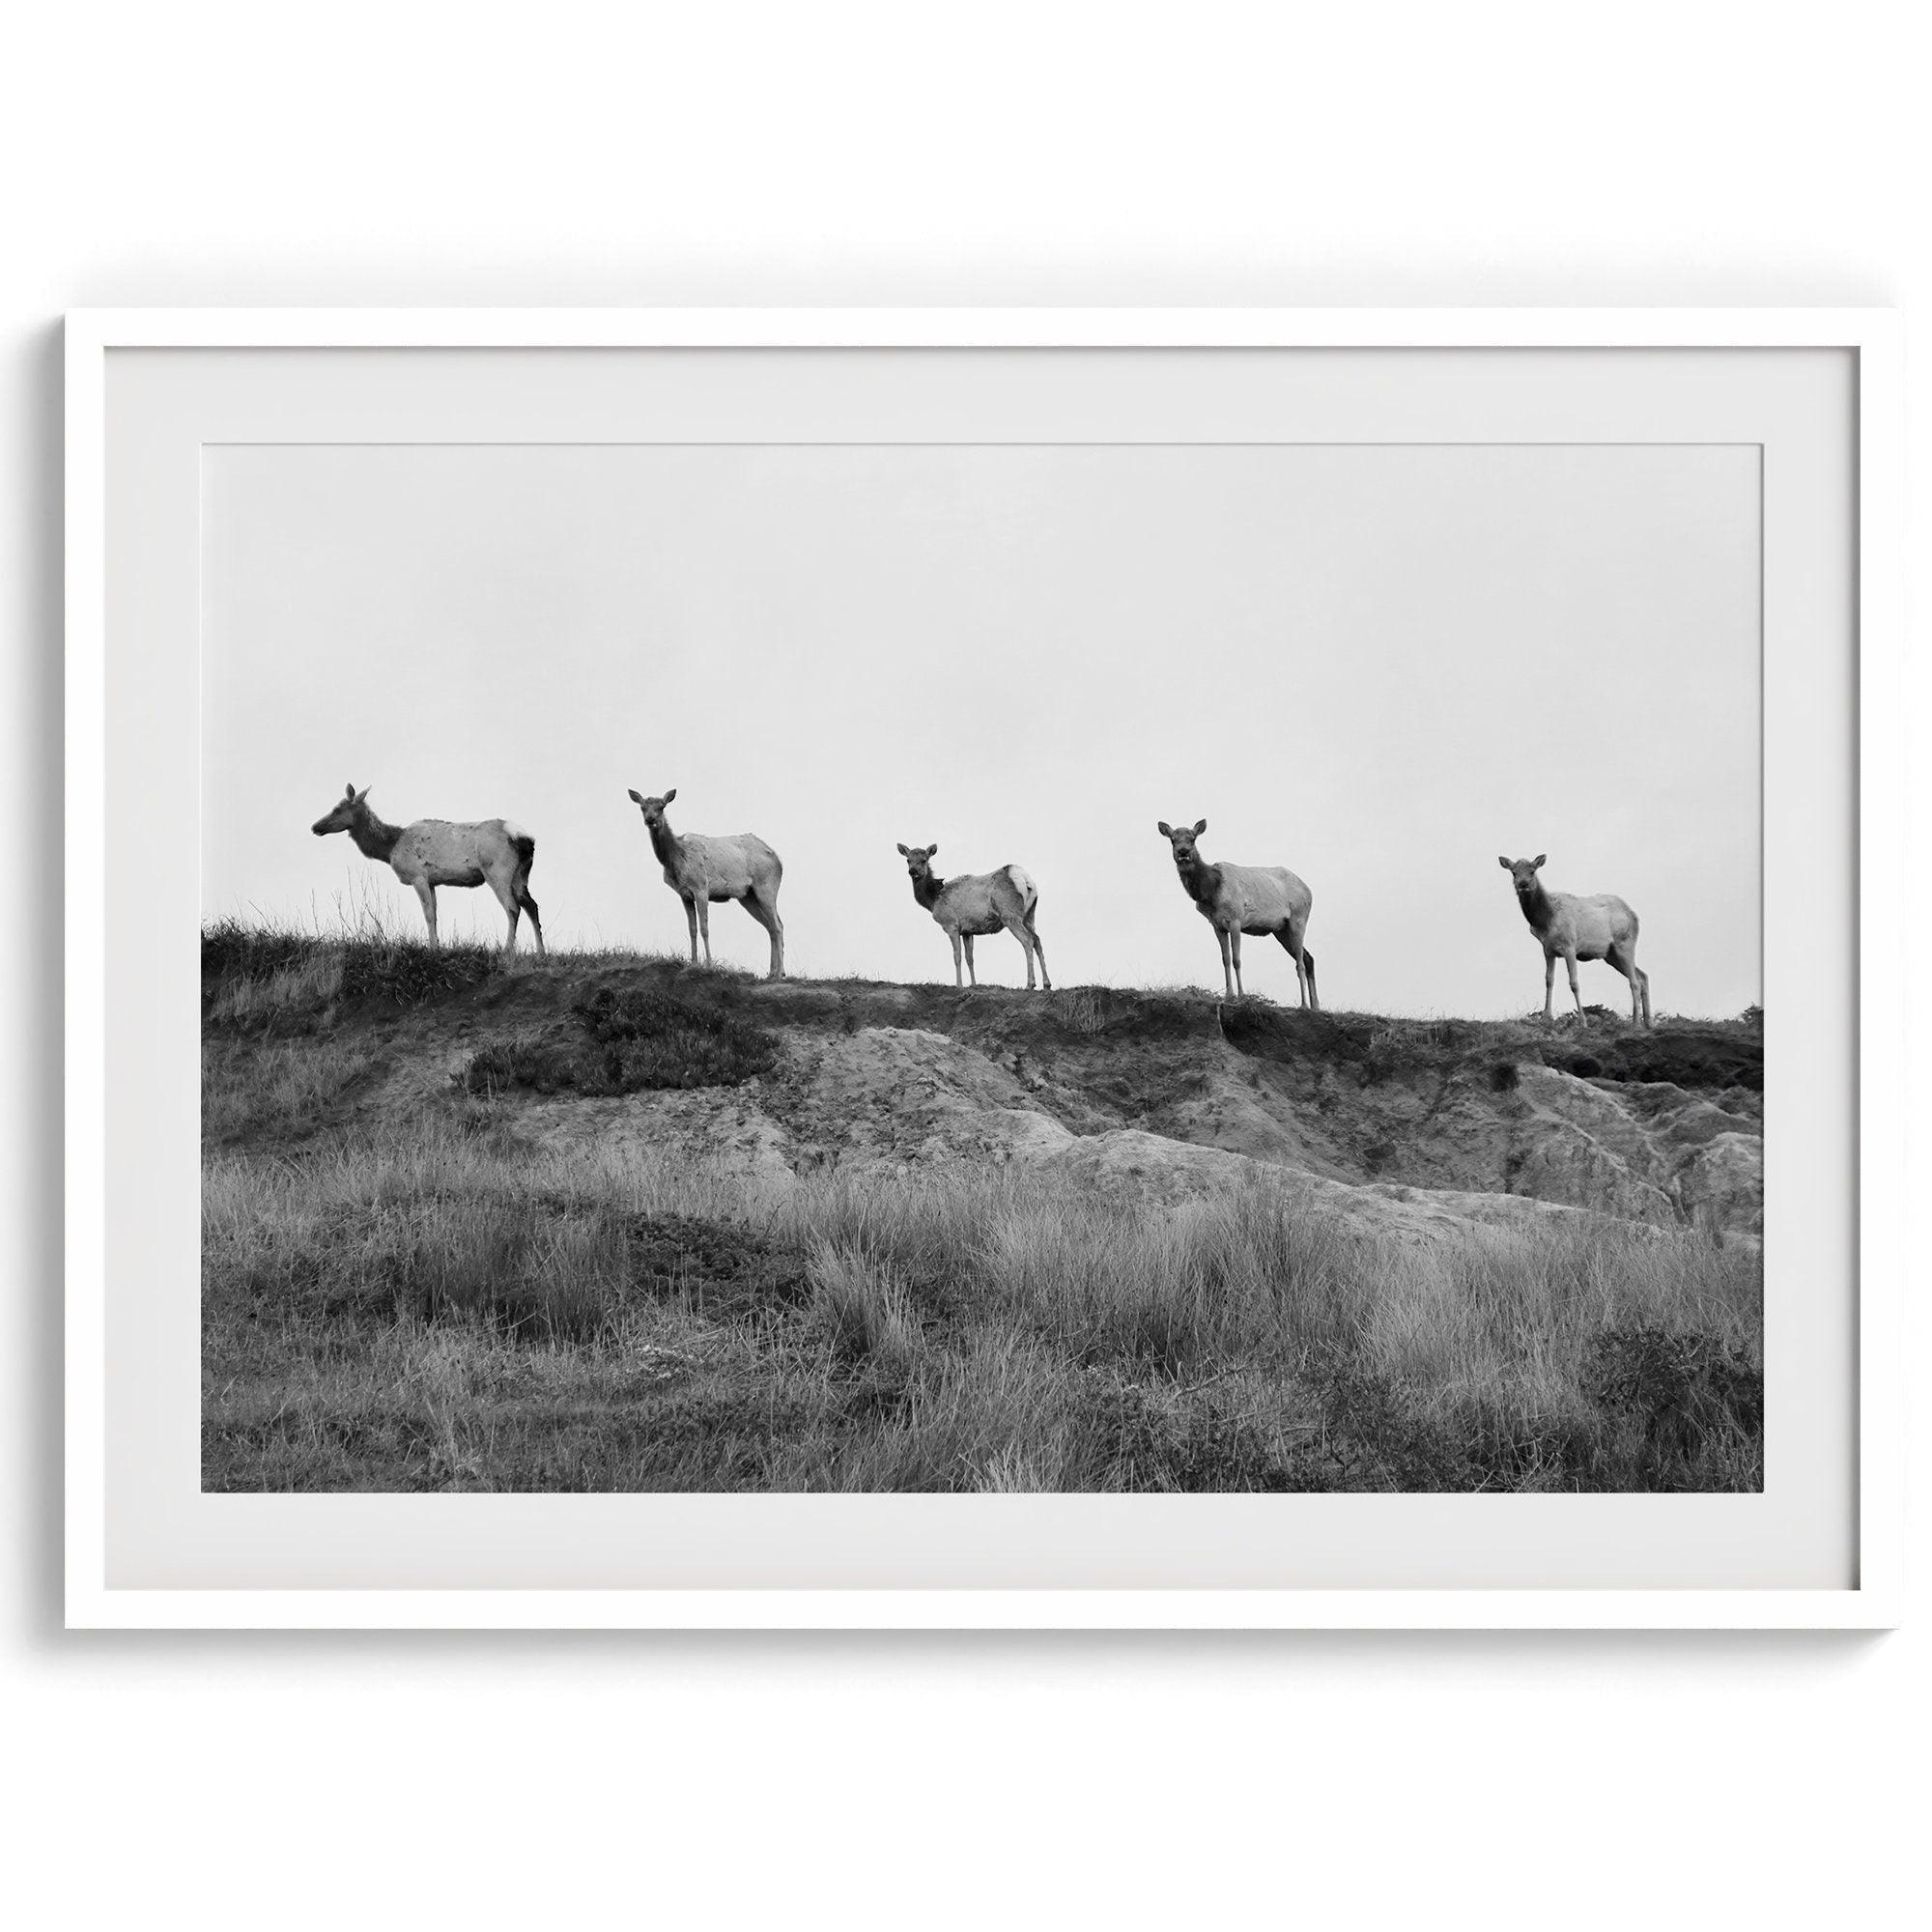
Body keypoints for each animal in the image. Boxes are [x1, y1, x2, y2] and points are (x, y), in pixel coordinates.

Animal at [311, 781, 545, 954]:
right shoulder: (433, 880)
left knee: (513, 907)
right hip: (521, 874)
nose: (315, 826)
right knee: (531, 905)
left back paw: (508, 950)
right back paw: (541, 952)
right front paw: (437, 945)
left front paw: (432, 948)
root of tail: (524, 839)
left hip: (498, 870)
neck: (390, 848)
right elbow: (435, 913)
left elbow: (428, 914)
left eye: (337, 808)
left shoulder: (418, 876)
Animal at [634, 781, 784, 974]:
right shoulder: (684, 894)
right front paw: (693, 962)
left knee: (778, 925)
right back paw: (771, 973)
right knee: (770, 926)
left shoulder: (701, 888)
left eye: (662, 807)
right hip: (748, 896)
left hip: (766, 886)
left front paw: (709, 964)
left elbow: (705, 928)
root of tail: (779, 861)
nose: (650, 819)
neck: (675, 861)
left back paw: (780, 972)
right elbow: (692, 929)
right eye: (642, 807)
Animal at [893, 846, 1051, 997]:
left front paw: (959, 984)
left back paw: (1030, 984)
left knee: (1028, 940)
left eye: (924, 860)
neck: (933, 900)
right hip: (1029, 915)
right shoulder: (967, 931)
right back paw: (1047, 984)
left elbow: (957, 956)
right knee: (1037, 940)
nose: (912, 871)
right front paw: (973, 984)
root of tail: (1025, 880)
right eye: (908, 860)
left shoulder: (951, 925)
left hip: (1010, 914)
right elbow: (970, 958)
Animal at [1159, 815, 1314, 1005]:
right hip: (1281, 930)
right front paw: (1229, 994)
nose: (1183, 851)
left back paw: (1304, 1004)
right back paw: (1315, 1005)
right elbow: (1225, 959)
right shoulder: (1217, 925)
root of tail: (1309, 891)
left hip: (1299, 919)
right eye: (1172, 839)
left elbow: (1236, 959)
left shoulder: (1236, 919)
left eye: (1193, 838)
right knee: (1309, 958)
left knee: (1300, 963)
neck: (1211, 892)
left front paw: (1241, 994)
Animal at [1499, 850, 1654, 1028]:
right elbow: (1549, 980)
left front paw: (1583, 1021)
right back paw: (1648, 1023)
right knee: (1642, 976)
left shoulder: (1570, 946)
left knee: (1634, 981)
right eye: (1513, 872)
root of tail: (1635, 916)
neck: (1545, 920)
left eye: (1532, 871)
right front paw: (1546, 1017)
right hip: (1610, 954)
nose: (1523, 884)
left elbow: (1574, 983)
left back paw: (1636, 1024)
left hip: (1625, 943)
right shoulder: (1548, 949)